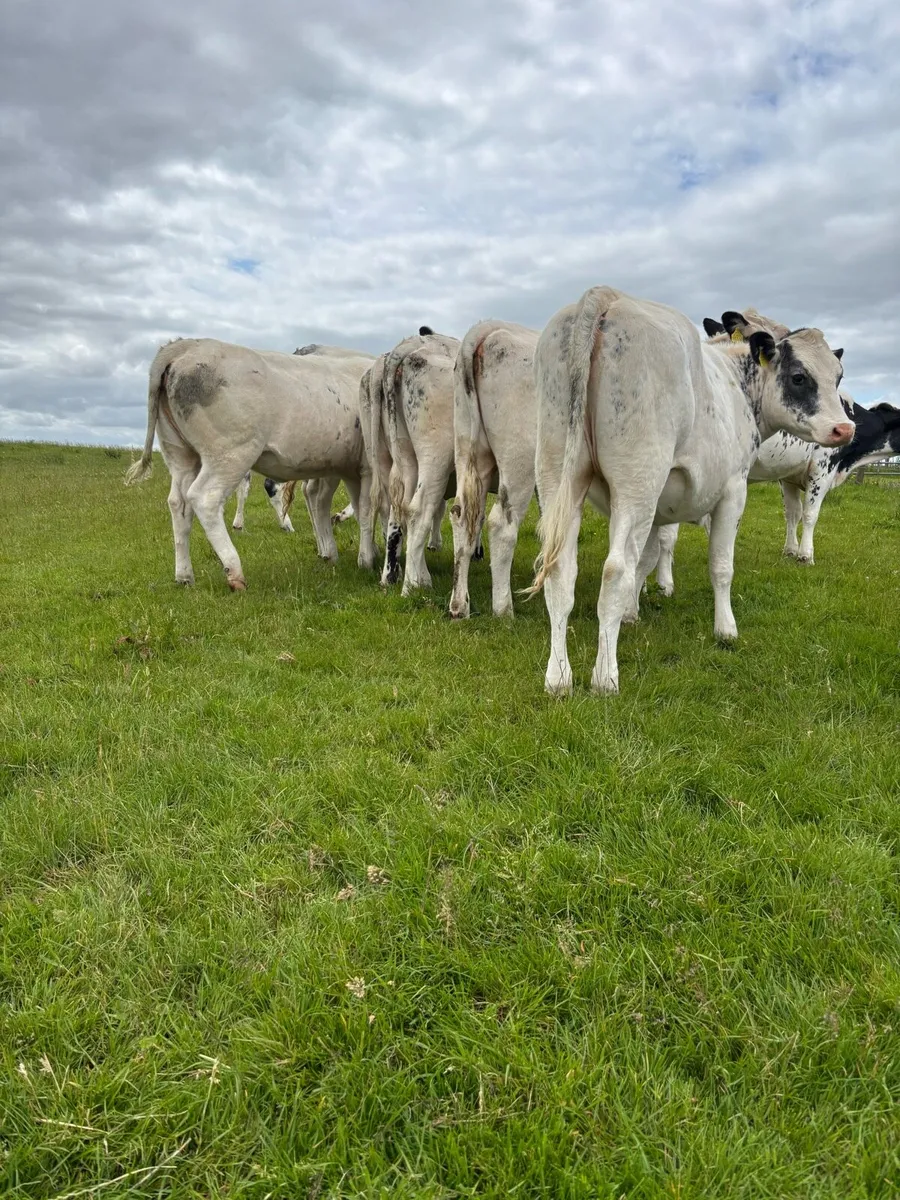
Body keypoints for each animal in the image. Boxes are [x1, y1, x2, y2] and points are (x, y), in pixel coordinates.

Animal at [125, 338, 375, 589]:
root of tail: (184, 346)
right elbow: (367, 508)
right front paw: (368, 559)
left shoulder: (349, 467)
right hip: (231, 453)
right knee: (205, 498)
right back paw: (234, 571)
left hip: (179, 454)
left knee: (179, 503)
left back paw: (184, 576)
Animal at [448, 320, 541, 619]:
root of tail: (488, 327)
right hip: (519, 457)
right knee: (501, 523)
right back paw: (503, 609)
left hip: (469, 448)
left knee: (462, 516)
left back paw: (459, 606)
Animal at [529, 287, 853, 695]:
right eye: (799, 376)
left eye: (837, 376)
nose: (845, 428)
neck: (735, 383)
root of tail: (609, 299)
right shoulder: (733, 489)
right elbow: (720, 565)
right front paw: (726, 629)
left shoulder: (658, 510)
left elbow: (648, 559)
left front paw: (633, 612)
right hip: (637, 482)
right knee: (614, 570)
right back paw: (605, 677)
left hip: (560, 476)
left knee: (560, 569)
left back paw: (558, 677)